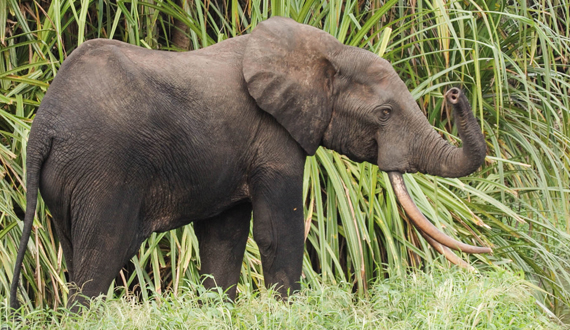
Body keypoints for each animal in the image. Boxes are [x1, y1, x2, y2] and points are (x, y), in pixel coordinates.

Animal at [7, 15, 488, 310]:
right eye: (385, 114)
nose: (455, 92)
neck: (327, 50)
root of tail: (42, 128)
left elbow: (224, 238)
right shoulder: (274, 136)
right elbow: (278, 232)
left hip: (70, 176)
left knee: (75, 251)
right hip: (104, 167)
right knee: (101, 255)